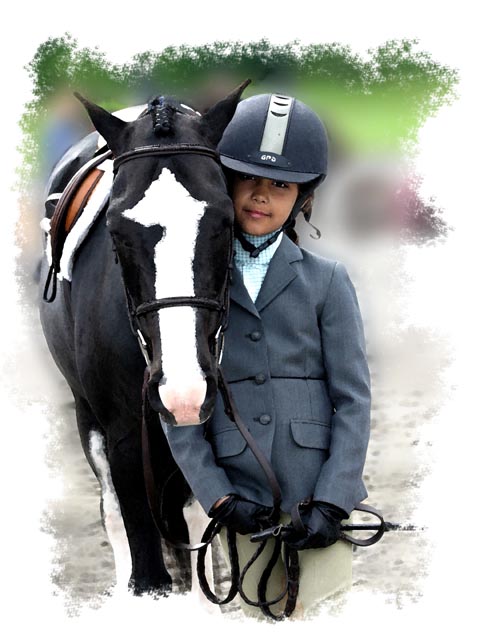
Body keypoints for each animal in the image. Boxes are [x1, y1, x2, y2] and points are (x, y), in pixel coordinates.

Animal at [39, 80, 249, 596]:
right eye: (116, 231)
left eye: (225, 221)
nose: (182, 391)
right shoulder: (124, 442)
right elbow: (144, 558)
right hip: (88, 418)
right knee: (114, 516)